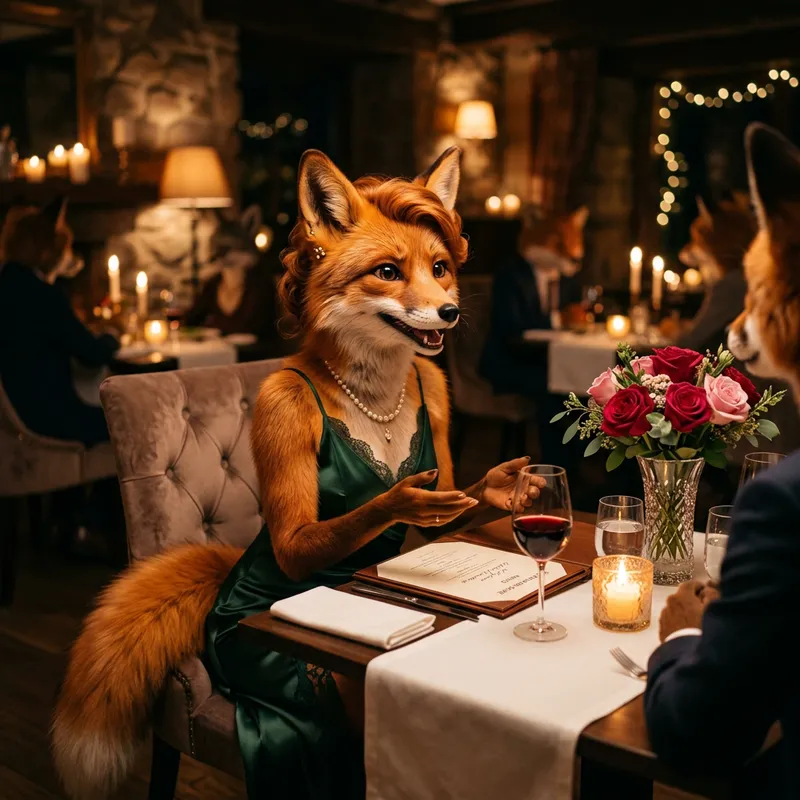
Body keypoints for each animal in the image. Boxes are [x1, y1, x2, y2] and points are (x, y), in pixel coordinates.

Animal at [52, 147, 528, 798]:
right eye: (387, 271)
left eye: (439, 267)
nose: (451, 311)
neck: (374, 393)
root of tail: (224, 584)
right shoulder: (280, 408)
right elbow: (306, 535)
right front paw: (394, 499)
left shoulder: (436, 389)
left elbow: (457, 503)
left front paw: (506, 488)